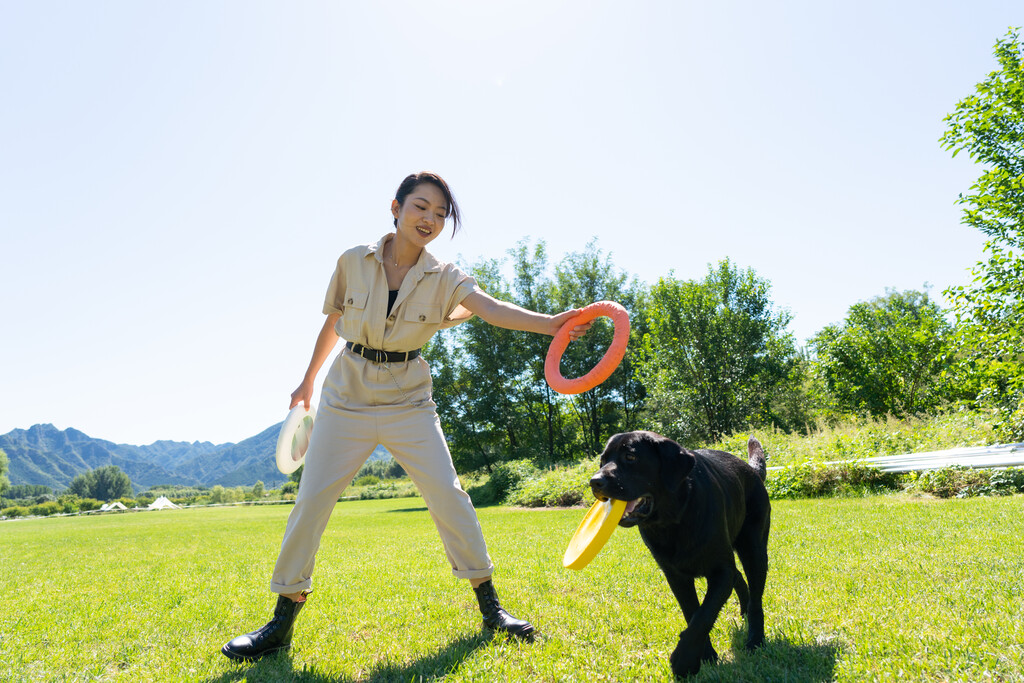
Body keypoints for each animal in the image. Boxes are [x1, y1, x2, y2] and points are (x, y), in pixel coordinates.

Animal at [589, 430, 770, 675]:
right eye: (602, 460)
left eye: (630, 457)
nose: (595, 481)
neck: (673, 520)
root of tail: (752, 471)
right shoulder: (675, 576)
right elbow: (692, 613)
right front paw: (705, 656)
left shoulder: (720, 570)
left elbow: (704, 614)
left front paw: (683, 661)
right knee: (739, 578)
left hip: (754, 549)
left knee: (756, 600)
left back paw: (755, 640)